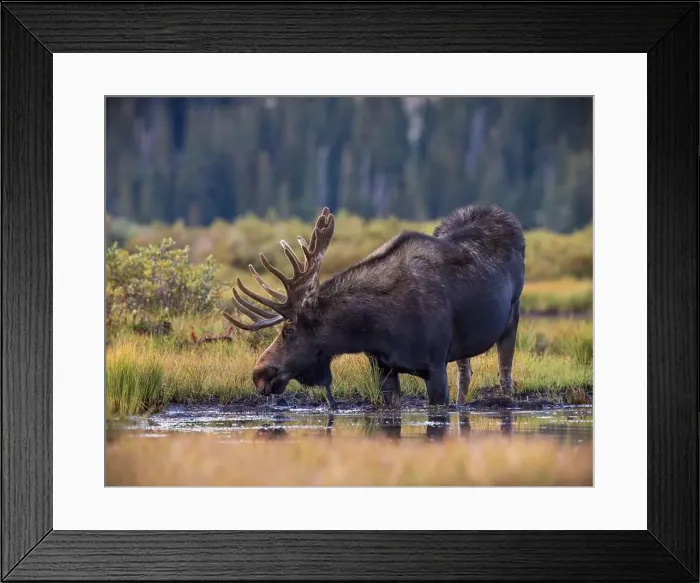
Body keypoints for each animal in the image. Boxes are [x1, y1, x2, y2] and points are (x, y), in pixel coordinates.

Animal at [223, 204, 526, 411]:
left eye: (289, 330)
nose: (258, 374)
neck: (375, 328)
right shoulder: (383, 368)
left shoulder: (435, 366)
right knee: (466, 373)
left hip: (512, 315)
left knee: (505, 372)